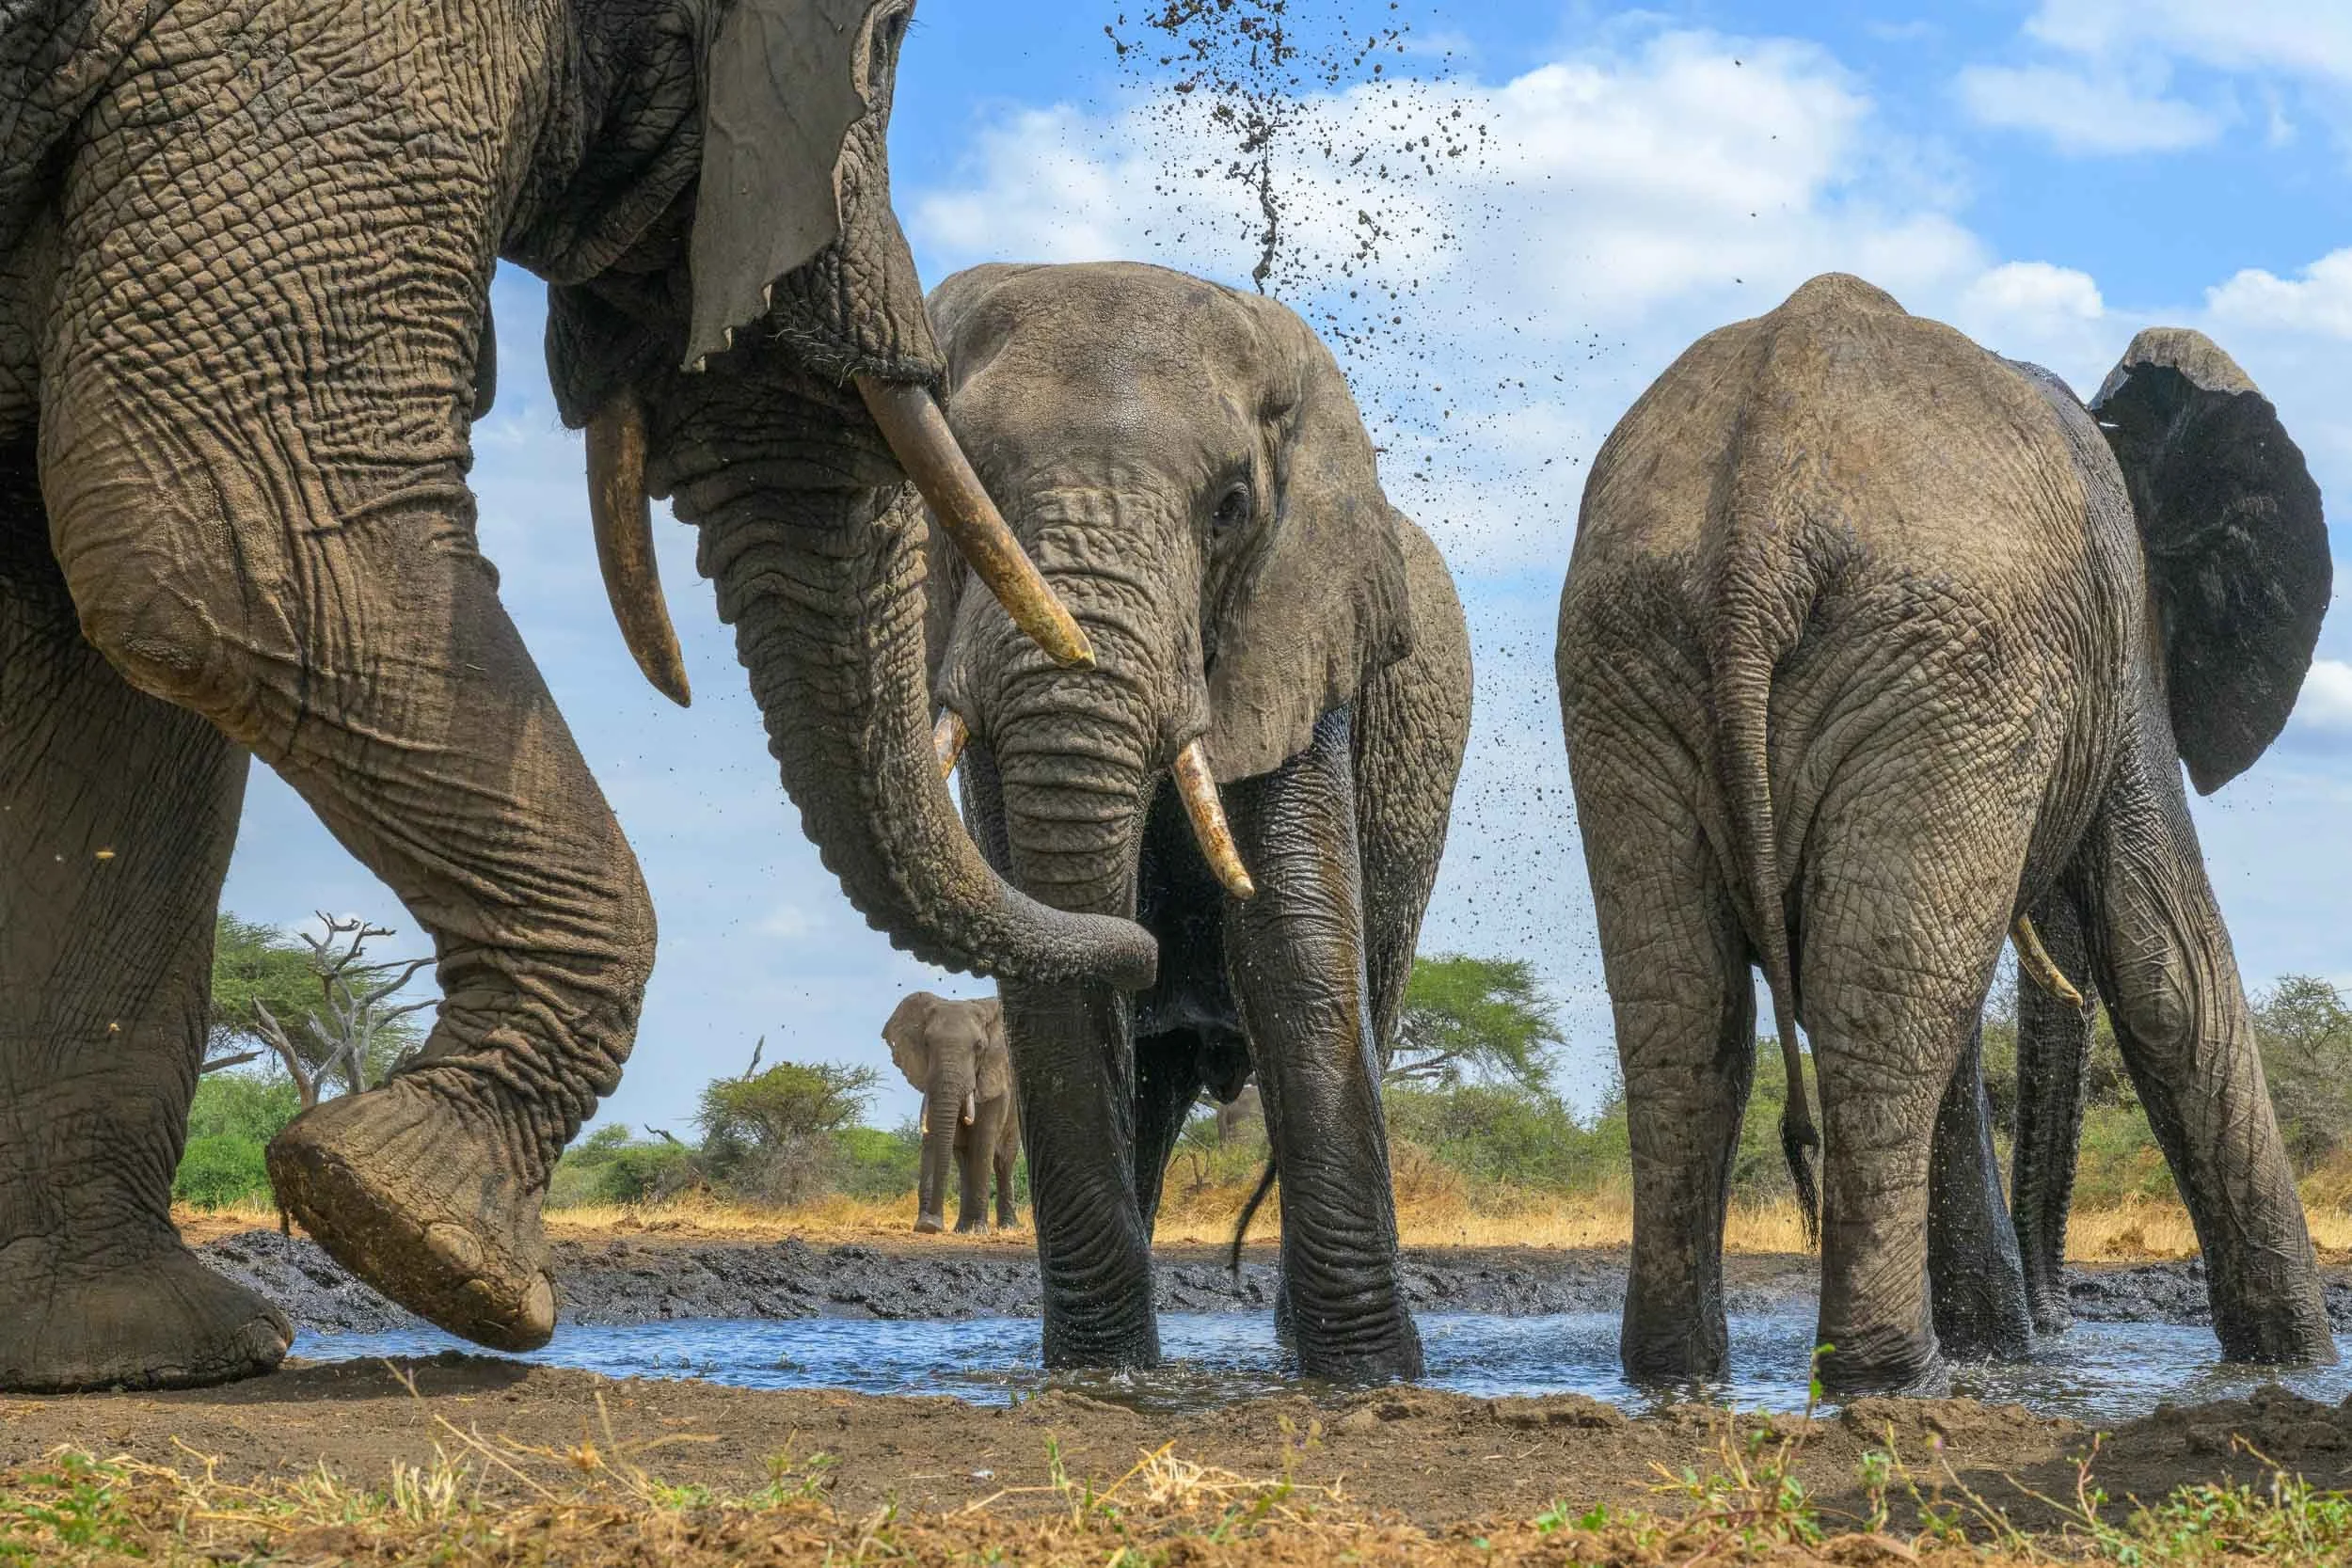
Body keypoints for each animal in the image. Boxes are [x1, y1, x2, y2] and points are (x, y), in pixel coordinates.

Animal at [883, 991, 1021, 1232]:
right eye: (926, 1043)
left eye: (979, 1046)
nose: (931, 1223)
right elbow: (937, 1138)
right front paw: (928, 1225)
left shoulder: (995, 1080)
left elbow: (983, 1142)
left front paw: (978, 1231)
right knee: (963, 1158)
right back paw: (962, 1228)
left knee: (1003, 1159)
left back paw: (1006, 1228)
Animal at [920, 261, 1474, 1379]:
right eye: (961, 493)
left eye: (1230, 508)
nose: (1157, 926)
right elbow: (1048, 966)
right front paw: (1102, 1372)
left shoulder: (1305, 642)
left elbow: (1295, 942)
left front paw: (1365, 1375)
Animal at [1557, 272, 2334, 1396]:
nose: (2059, 1323)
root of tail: (1755, 533)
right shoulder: (2116, 644)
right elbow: (2168, 965)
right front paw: (2302, 1365)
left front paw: (2002, 1346)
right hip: (1940, 650)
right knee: (1880, 1018)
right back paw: (1897, 1373)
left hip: (1637, 654)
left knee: (1690, 1012)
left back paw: (1677, 1371)